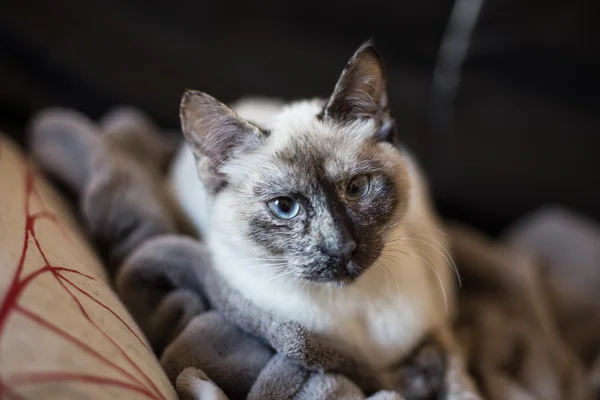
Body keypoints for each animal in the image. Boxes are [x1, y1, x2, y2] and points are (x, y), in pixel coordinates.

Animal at [166, 40, 458, 388]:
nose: (341, 247)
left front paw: (421, 376)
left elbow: (438, 364)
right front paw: (410, 379)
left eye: (357, 188)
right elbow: (382, 378)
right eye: (284, 207)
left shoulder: (437, 327)